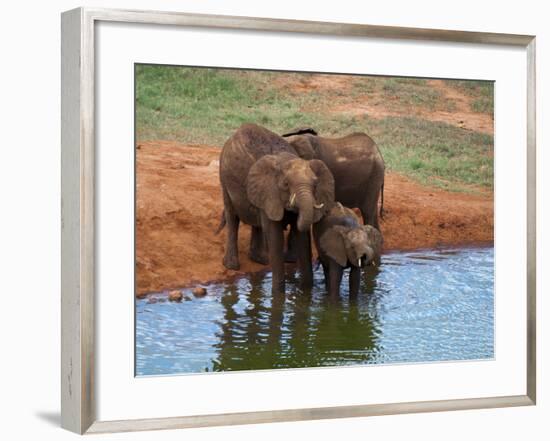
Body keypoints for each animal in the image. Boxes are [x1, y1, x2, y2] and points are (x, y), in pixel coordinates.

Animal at [220, 123, 336, 292]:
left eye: (315, 184)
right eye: (286, 184)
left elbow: (302, 236)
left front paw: (305, 290)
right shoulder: (270, 191)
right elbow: (274, 236)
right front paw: (278, 294)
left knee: (256, 221)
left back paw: (260, 260)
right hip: (224, 177)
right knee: (232, 217)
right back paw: (232, 266)